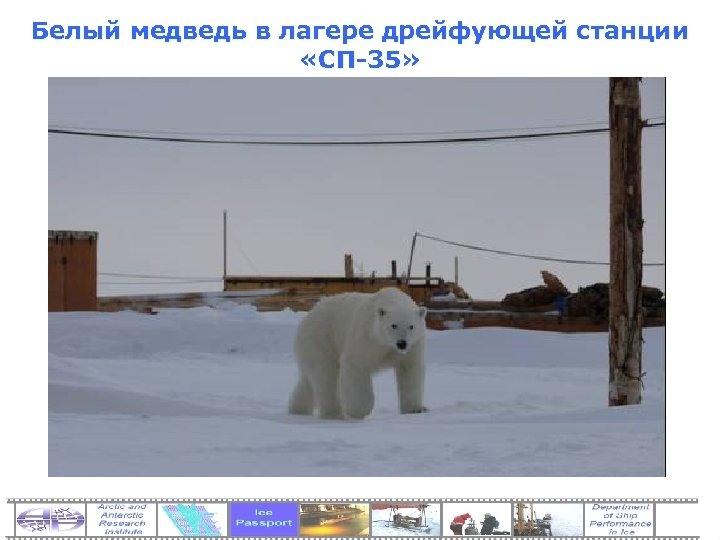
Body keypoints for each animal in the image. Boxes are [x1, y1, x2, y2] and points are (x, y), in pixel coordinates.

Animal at [289, 287, 427, 420]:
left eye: (411, 326)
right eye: (393, 325)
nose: (402, 343)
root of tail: (309, 315)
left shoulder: (413, 346)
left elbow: (410, 370)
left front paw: (416, 409)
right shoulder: (367, 337)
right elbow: (356, 365)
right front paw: (358, 410)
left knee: (308, 381)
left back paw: (297, 409)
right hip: (320, 339)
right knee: (326, 375)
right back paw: (334, 414)